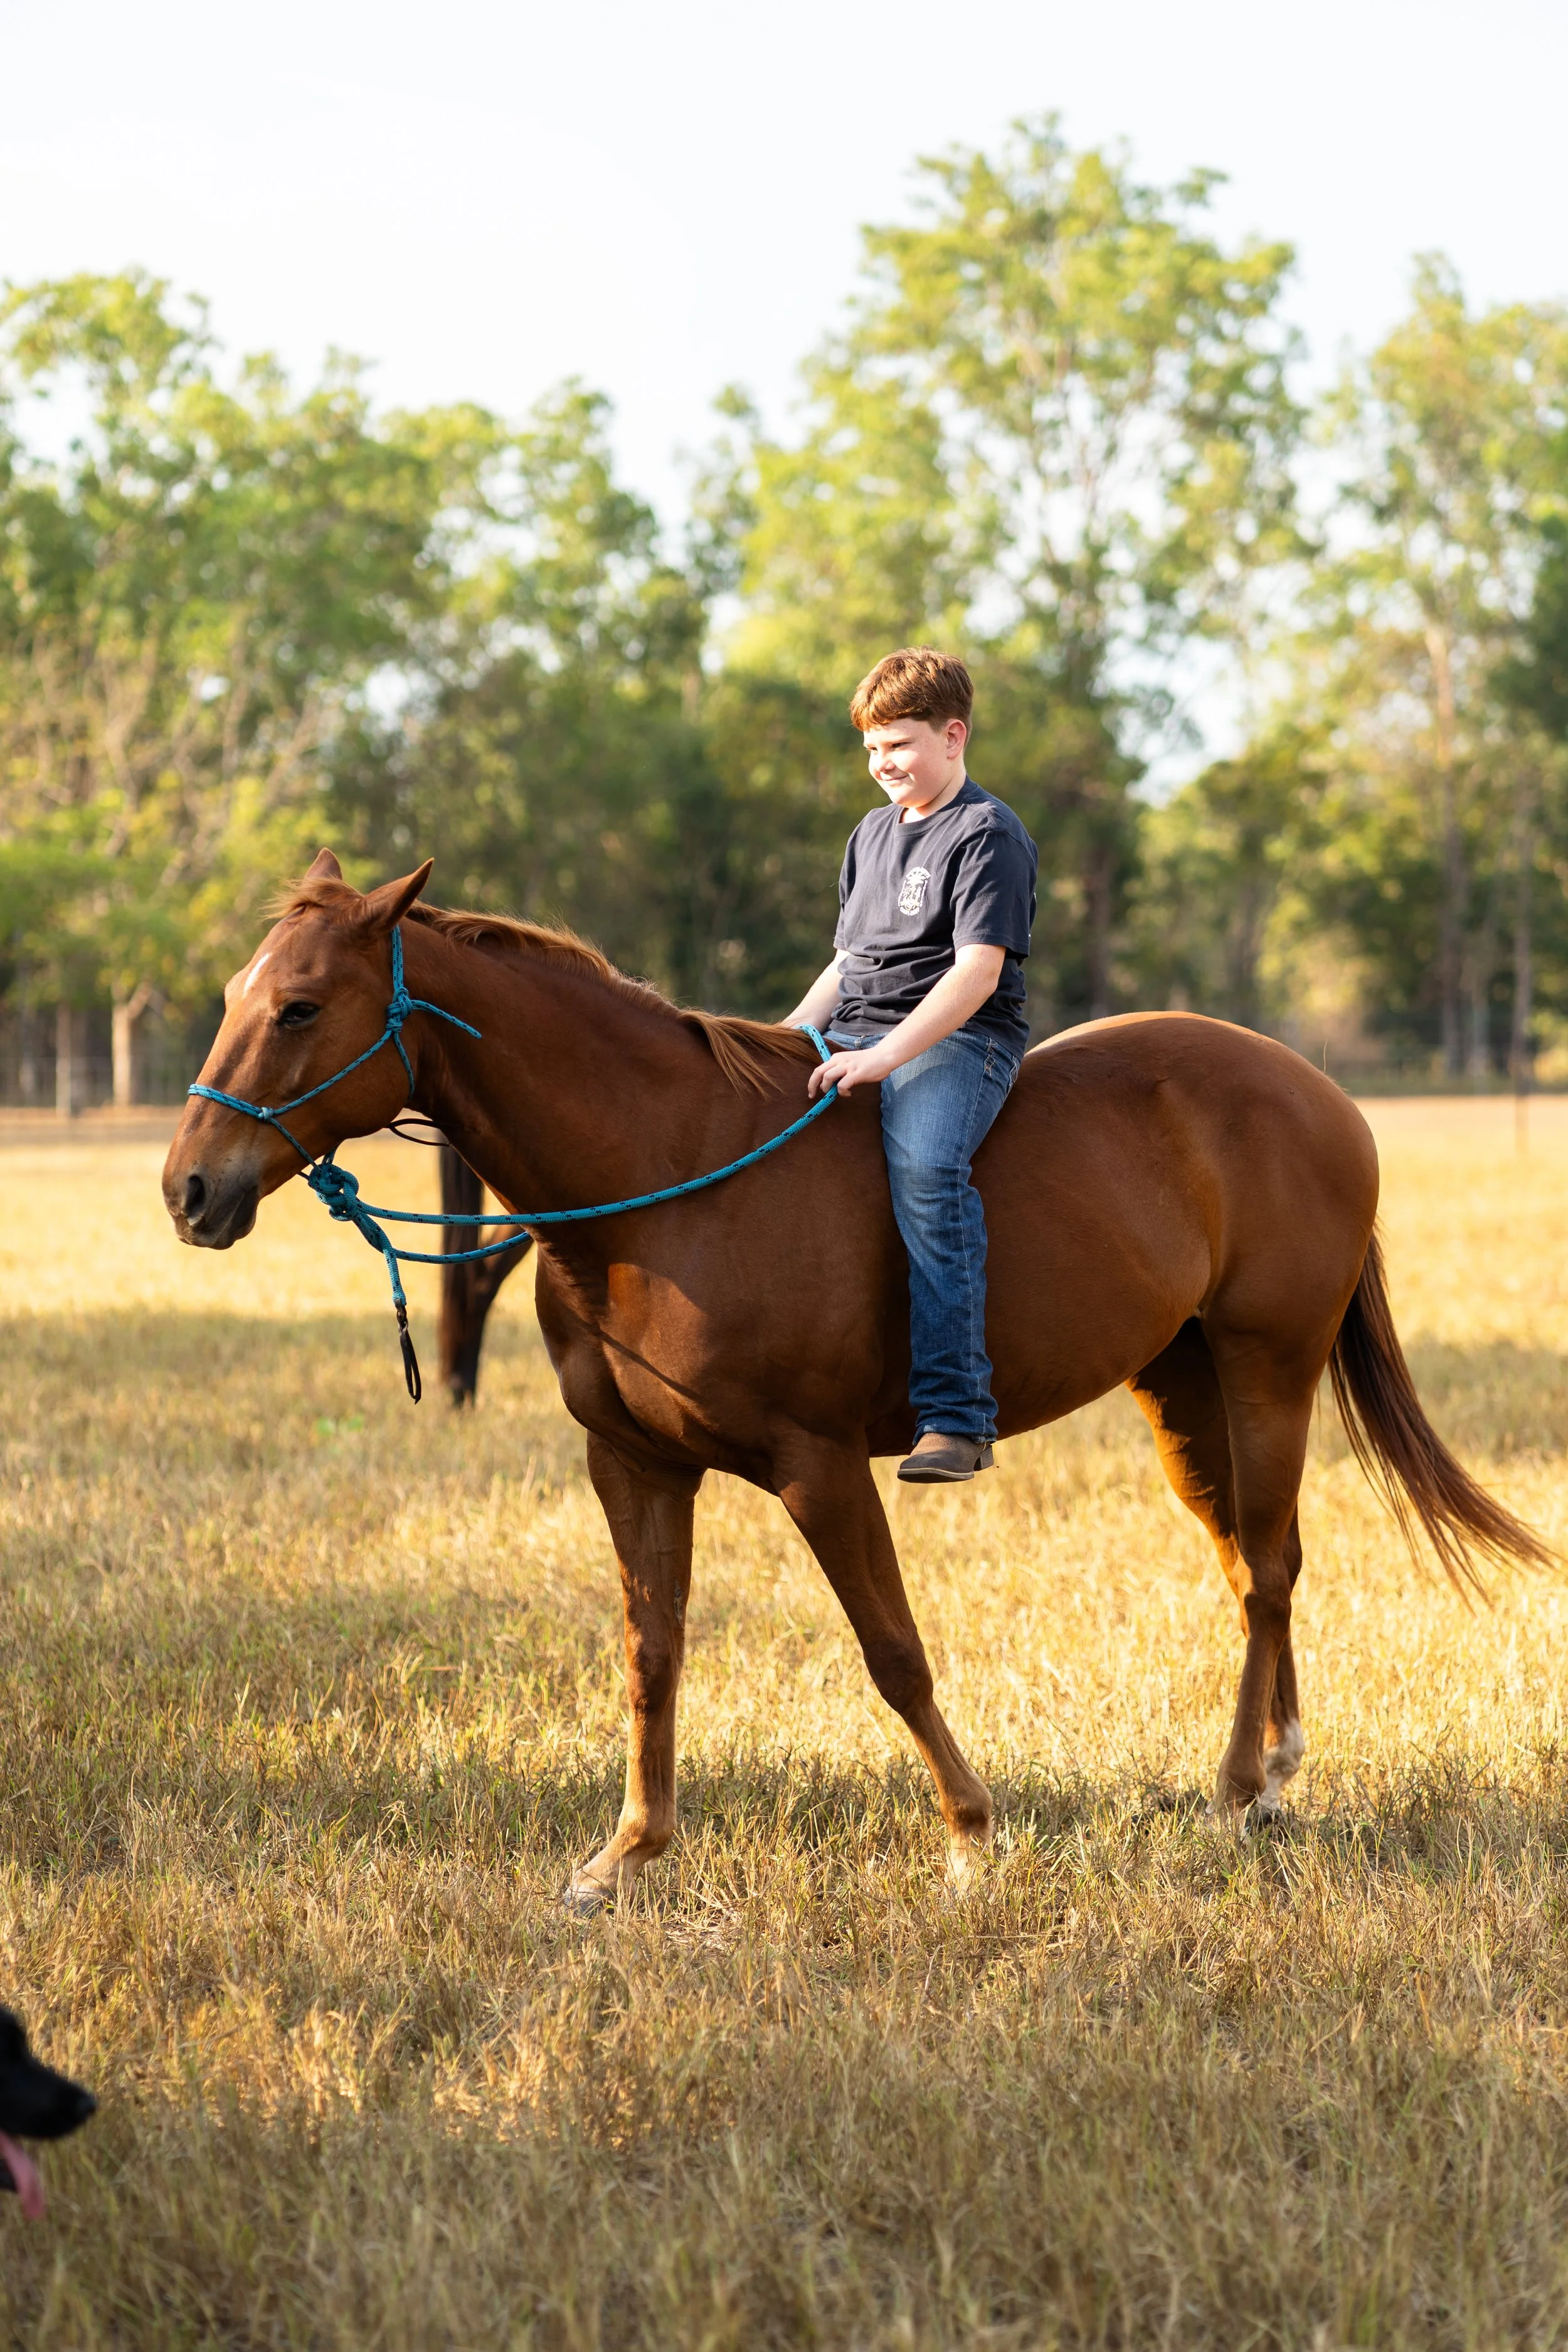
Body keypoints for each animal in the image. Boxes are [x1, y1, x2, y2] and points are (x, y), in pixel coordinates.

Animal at [162, 852, 1550, 1905]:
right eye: (239, 994)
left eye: (299, 1008)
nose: (189, 1189)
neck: (666, 1181)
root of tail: (1315, 1090)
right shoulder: (634, 1465)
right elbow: (651, 1653)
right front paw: (626, 1857)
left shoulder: (817, 1467)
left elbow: (893, 1654)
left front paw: (972, 1838)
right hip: (1181, 1388)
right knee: (1257, 1562)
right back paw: (1272, 1772)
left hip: (1270, 1367)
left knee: (1263, 1568)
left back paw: (1238, 1792)